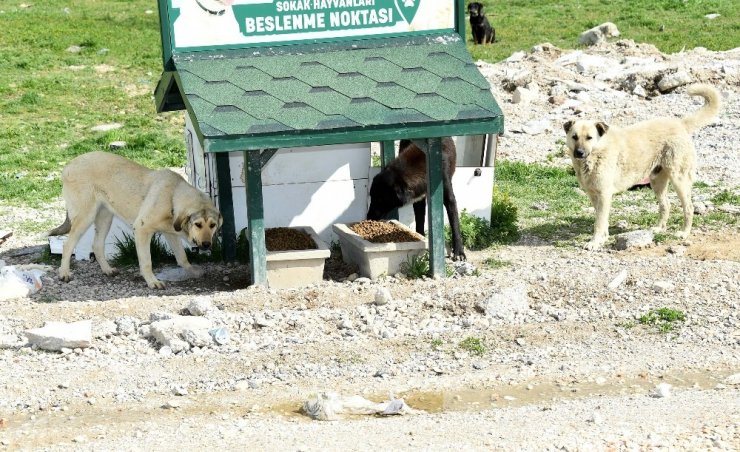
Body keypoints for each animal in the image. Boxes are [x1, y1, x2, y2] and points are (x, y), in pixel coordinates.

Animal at [48, 150, 221, 288]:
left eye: (212, 225)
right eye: (198, 224)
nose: (207, 245)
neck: (173, 197)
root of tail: (69, 165)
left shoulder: (171, 233)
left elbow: (182, 257)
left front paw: (192, 270)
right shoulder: (141, 230)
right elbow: (147, 262)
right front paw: (152, 282)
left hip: (105, 218)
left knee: (96, 245)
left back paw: (107, 270)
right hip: (86, 217)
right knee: (67, 244)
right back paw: (64, 273)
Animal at [564, 85, 720, 251]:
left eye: (589, 138)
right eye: (574, 137)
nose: (579, 153)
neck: (597, 153)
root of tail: (680, 124)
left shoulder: (604, 195)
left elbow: (599, 223)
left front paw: (594, 242)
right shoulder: (594, 195)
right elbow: (602, 220)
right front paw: (603, 238)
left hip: (679, 179)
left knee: (689, 207)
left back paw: (684, 233)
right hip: (657, 181)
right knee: (666, 205)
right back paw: (659, 228)